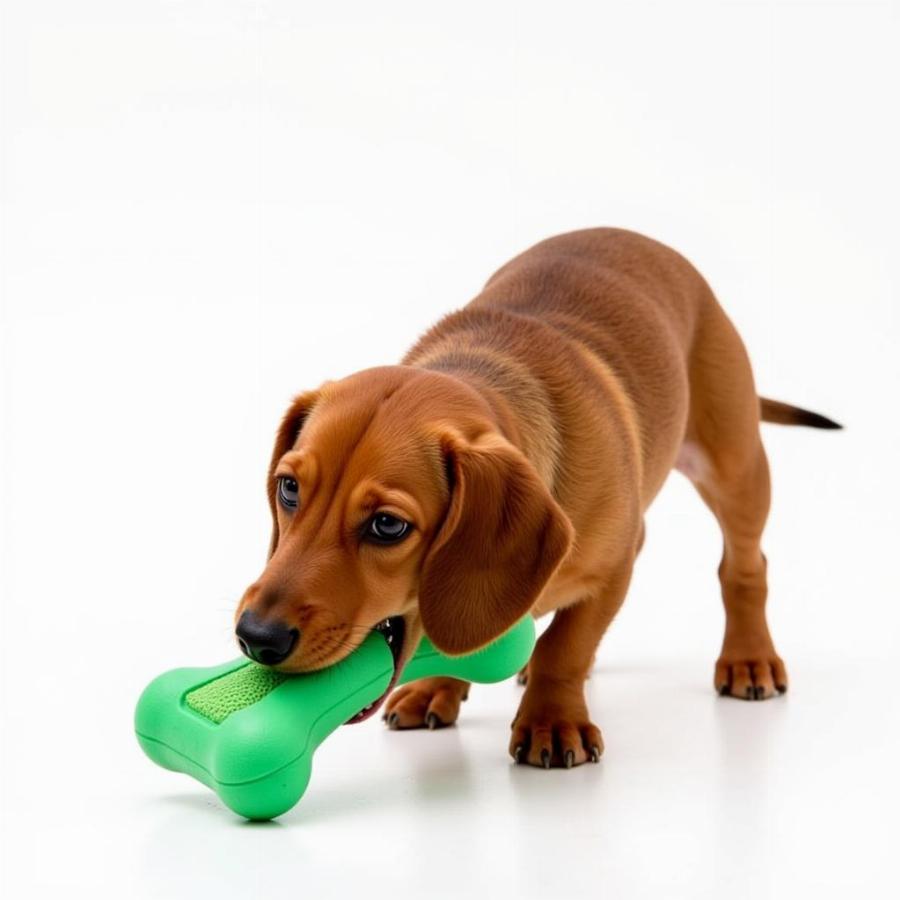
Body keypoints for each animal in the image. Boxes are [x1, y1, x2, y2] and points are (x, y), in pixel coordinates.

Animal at [236, 229, 840, 768]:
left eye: (388, 526)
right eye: (289, 488)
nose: (255, 637)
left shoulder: (611, 571)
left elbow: (563, 647)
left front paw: (552, 721)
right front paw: (438, 687)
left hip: (734, 468)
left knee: (744, 566)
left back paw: (748, 658)